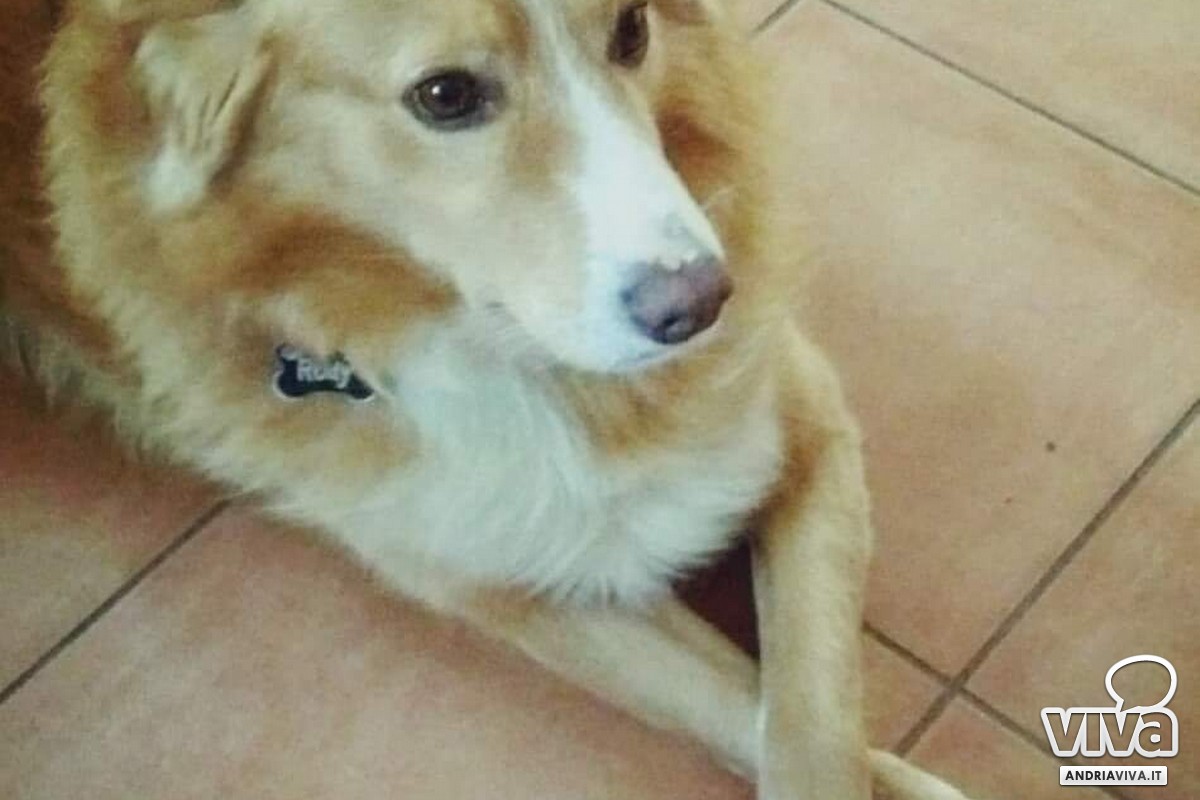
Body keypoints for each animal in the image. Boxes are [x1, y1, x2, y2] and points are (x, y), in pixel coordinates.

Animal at [1, 1, 976, 797]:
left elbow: (812, 714)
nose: (702, 306)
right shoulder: (501, 581)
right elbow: (749, 710)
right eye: (445, 95)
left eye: (632, 27)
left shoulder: (806, 419)